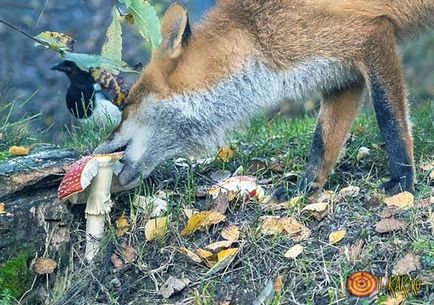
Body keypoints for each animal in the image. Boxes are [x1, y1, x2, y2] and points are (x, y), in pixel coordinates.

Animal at [95, 0, 434, 194]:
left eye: (125, 105)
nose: (96, 150)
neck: (256, 34)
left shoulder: (371, 36)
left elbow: (390, 120)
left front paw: (402, 181)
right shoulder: (342, 75)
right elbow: (323, 141)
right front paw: (305, 189)